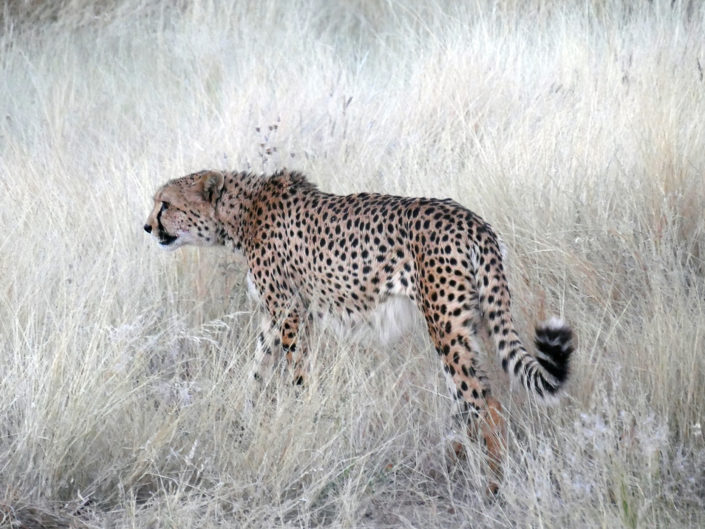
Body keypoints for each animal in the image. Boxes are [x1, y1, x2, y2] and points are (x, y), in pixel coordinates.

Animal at [144, 168, 574, 493]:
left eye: (166, 204)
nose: (147, 227)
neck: (241, 212)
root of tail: (473, 221)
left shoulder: (290, 312)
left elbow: (295, 373)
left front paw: (303, 418)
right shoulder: (274, 315)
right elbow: (257, 369)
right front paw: (244, 419)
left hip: (445, 326)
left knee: (484, 403)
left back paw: (491, 484)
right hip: (477, 321)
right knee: (477, 396)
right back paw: (463, 461)